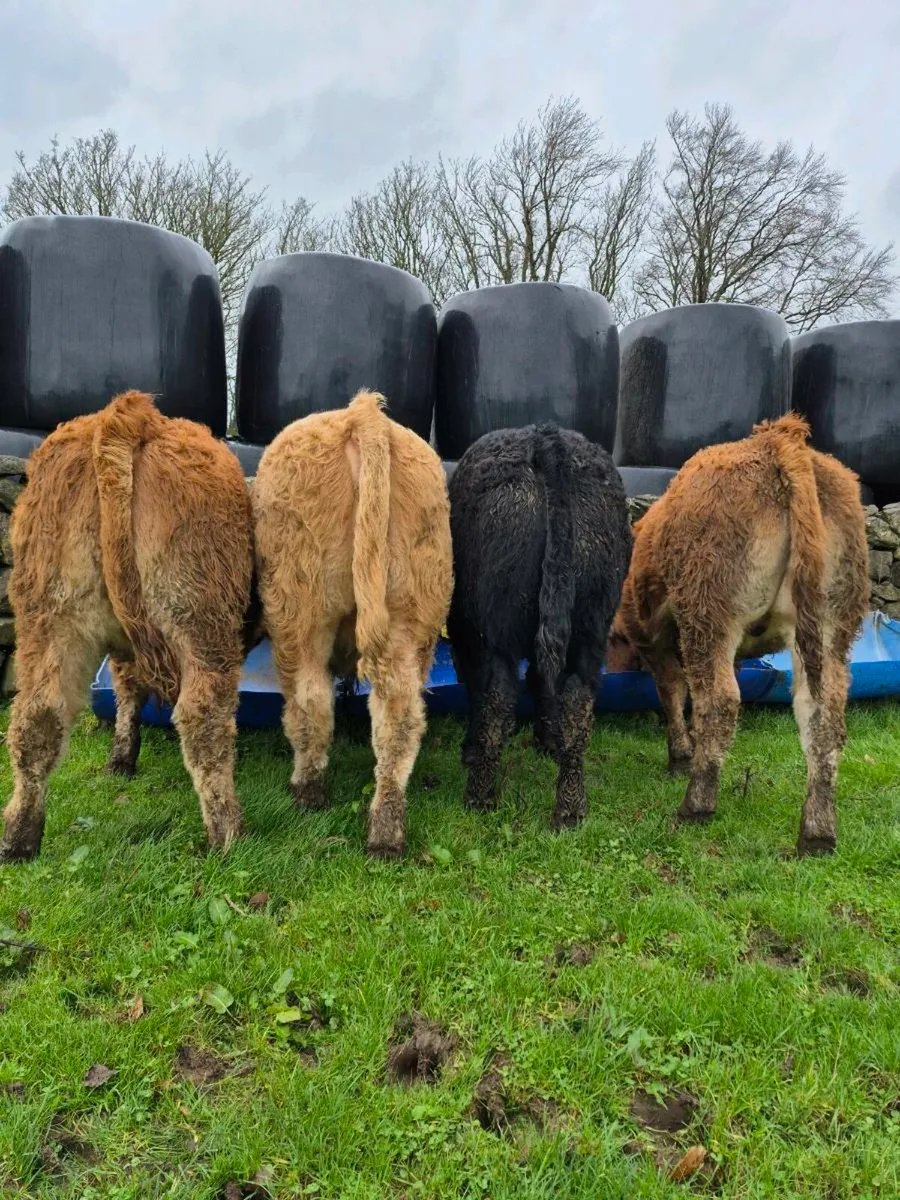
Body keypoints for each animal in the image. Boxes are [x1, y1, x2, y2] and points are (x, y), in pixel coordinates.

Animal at [1, 390, 254, 861]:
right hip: (201, 623)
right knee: (202, 717)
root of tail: (127, 415)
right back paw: (228, 835)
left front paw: (121, 758)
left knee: (36, 721)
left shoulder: (124, 647)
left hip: (49, 620)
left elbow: (126, 693)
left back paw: (18, 840)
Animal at [252, 390, 452, 859]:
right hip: (408, 617)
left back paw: (307, 790)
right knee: (399, 718)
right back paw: (386, 831)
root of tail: (361, 415)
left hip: (300, 612)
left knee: (309, 699)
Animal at [447, 424, 632, 829]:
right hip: (592, 626)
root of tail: (545, 437)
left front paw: (470, 748)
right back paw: (570, 808)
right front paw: (548, 739)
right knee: (577, 700)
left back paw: (480, 795)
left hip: (496, 629)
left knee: (497, 695)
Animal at [607, 413, 869, 856]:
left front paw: (680, 757)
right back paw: (817, 834)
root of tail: (778, 441)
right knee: (823, 717)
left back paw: (695, 805)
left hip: (710, 615)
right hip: (830, 627)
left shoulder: (654, 640)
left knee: (720, 703)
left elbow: (673, 693)